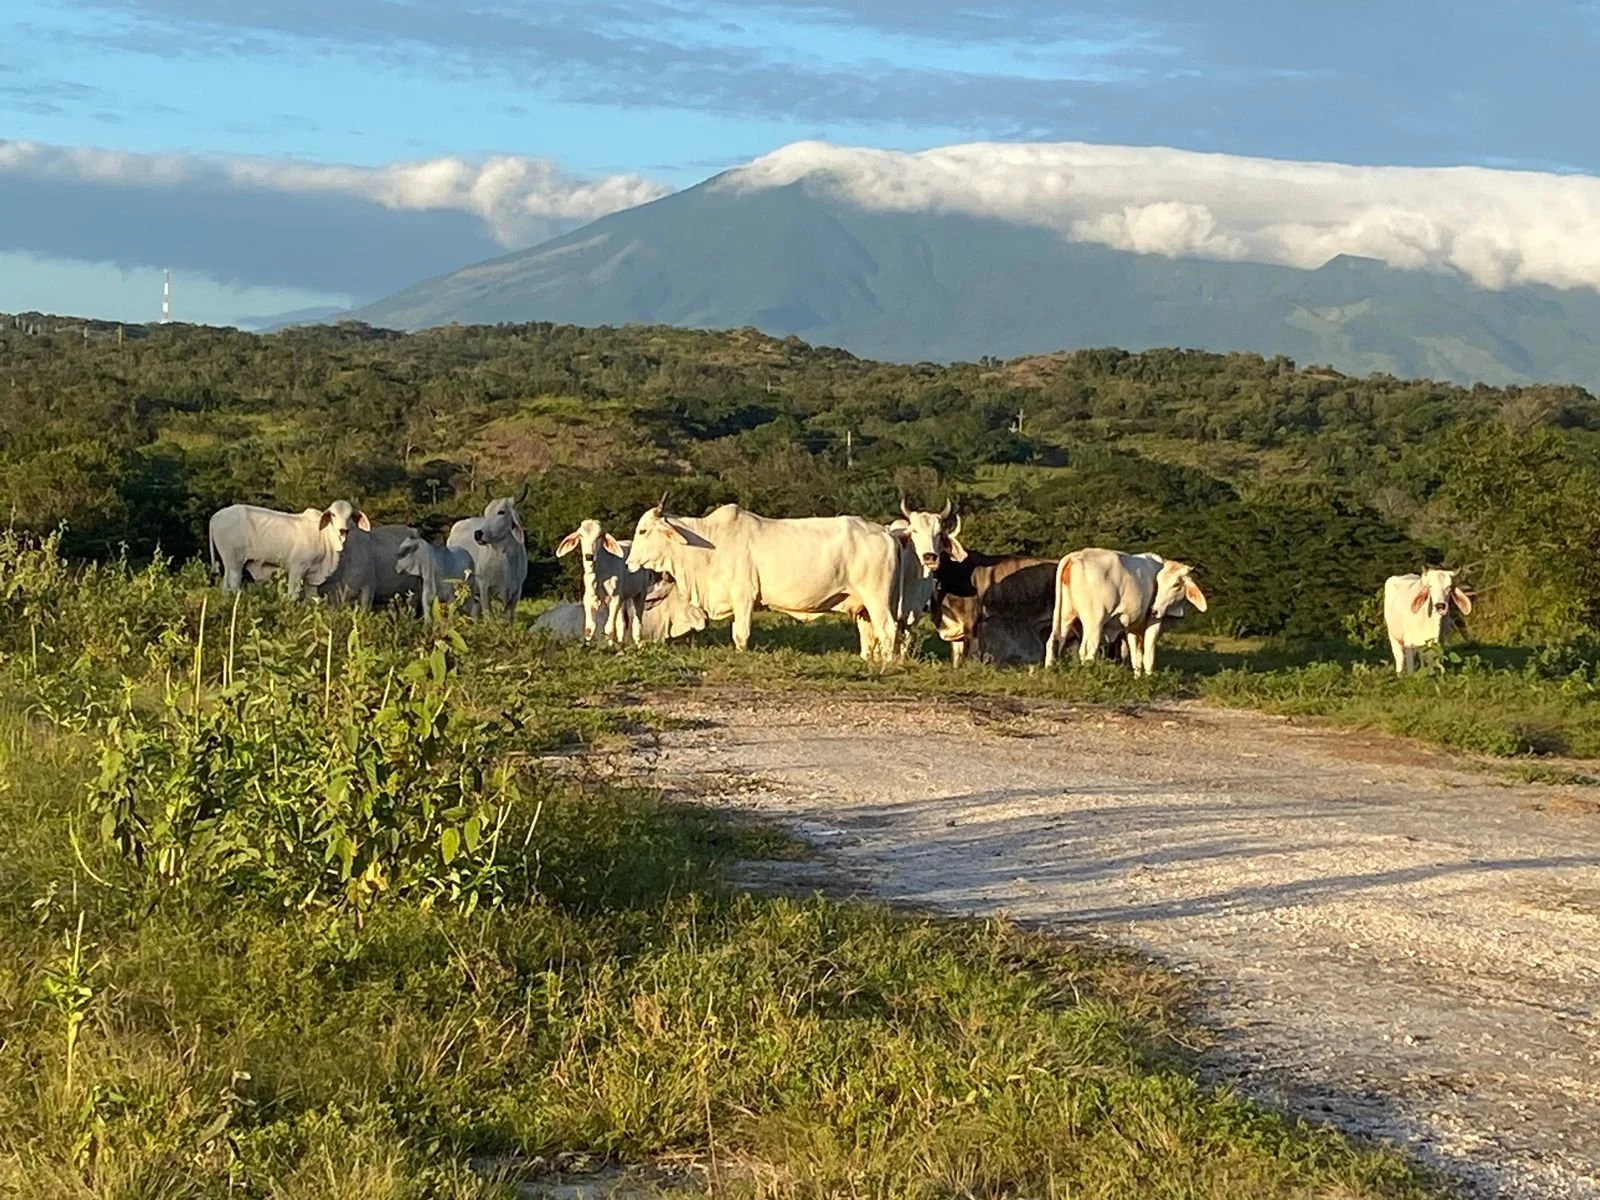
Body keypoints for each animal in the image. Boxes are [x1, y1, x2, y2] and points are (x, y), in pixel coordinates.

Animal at [208, 500, 370, 599]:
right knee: (233, 585)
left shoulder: (312, 577)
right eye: (333, 515)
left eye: (350, 516)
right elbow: (292, 595)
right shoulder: (297, 569)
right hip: (234, 563)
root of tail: (216, 516)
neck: (323, 536)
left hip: (229, 564)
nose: (343, 530)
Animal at [624, 503, 901, 662]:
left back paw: (886, 664)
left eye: (643, 531)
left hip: (876, 597)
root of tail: (885, 532)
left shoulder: (744, 597)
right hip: (862, 605)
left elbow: (740, 633)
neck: (711, 543)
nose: (628, 562)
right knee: (869, 633)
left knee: (887, 629)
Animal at [1044, 548, 1208, 677]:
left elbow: (1136, 656)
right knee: (1087, 650)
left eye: (1176, 584)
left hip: (1065, 615)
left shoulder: (1132, 627)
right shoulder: (1154, 622)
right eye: (1159, 583)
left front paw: (1137, 678)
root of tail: (1076, 556)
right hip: (1094, 622)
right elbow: (1148, 654)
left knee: (1054, 641)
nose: (1153, 610)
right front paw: (1149, 679)